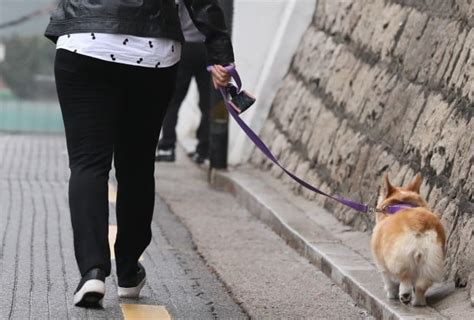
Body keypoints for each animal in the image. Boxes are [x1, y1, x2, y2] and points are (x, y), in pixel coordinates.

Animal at [372, 174, 446, 306]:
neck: (401, 204)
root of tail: (419, 225)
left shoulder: (382, 265)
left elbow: (389, 282)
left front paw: (391, 295)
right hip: (431, 261)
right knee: (421, 286)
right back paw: (418, 302)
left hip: (399, 259)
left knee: (404, 278)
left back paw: (405, 296)